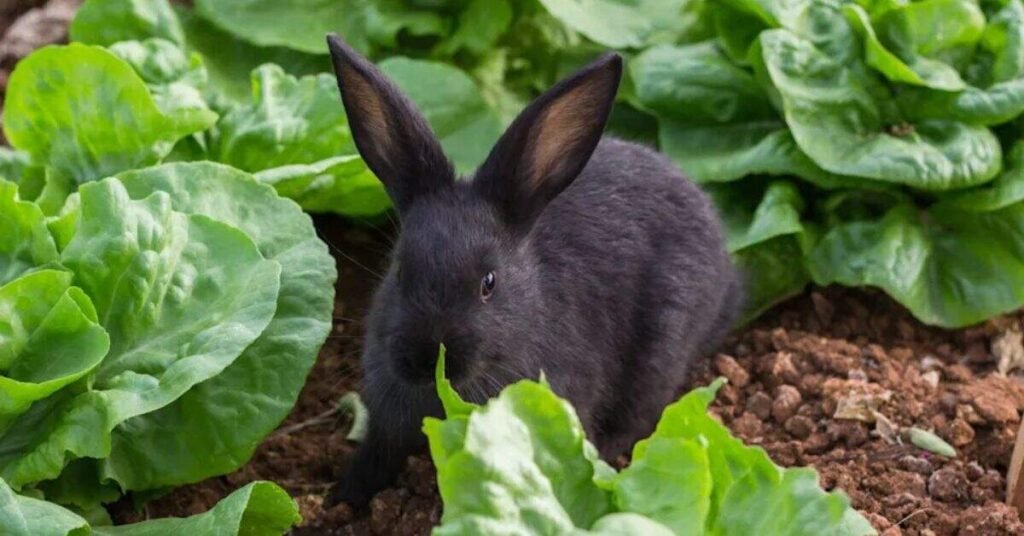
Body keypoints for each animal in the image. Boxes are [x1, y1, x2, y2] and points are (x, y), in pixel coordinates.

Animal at [323, 34, 743, 508]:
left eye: (489, 283)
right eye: (398, 270)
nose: (426, 359)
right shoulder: (386, 422)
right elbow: (376, 455)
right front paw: (342, 498)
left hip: (663, 348)